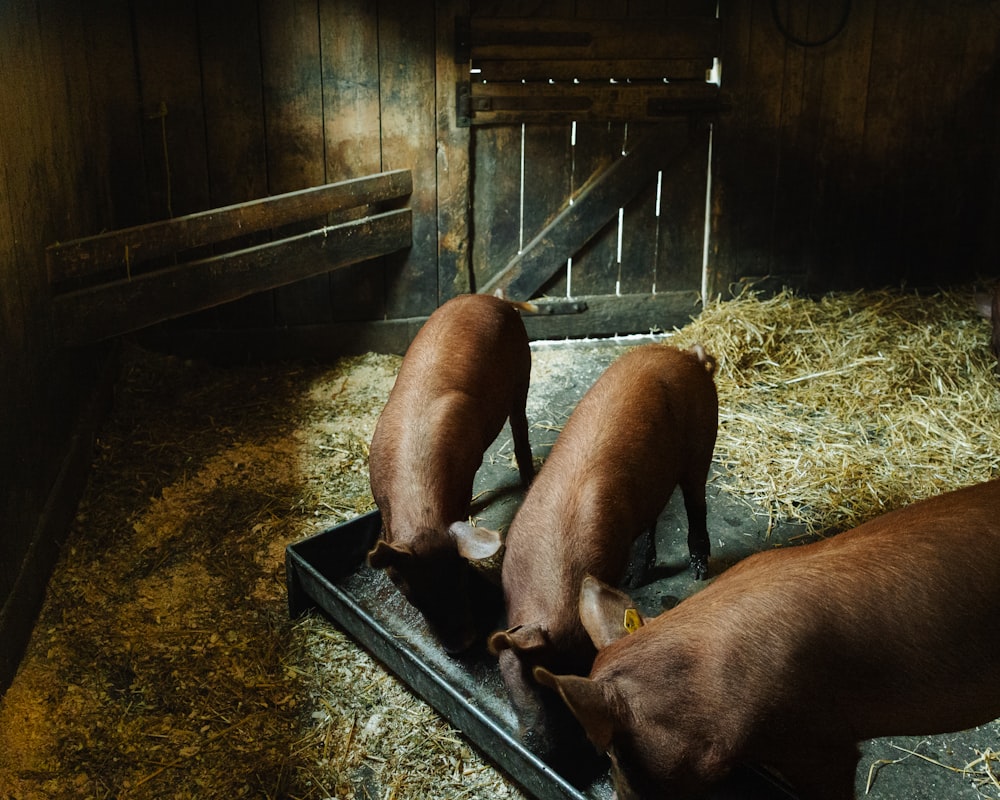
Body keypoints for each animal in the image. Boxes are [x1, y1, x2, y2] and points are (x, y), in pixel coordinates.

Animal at [368, 290, 536, 652]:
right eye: (413, 595)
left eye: (461, 576)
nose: (462, 645)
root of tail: (492, 297)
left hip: (522, 374)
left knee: (521, 428)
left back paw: (530, 481)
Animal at [488, 342, 716, 764]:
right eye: (530, 679)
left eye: (579, 670)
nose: (555, 754)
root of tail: (686, 355)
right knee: (654, 520)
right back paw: (638, 577)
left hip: (702, 443)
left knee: (696, 505)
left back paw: (698, 571)